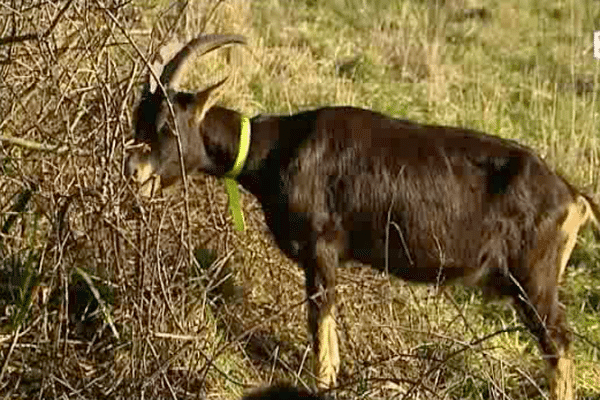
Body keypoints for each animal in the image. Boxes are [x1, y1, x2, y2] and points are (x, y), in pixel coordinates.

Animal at [125, 34, 600, 400]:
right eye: (138, 119)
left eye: (169, 125)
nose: (134, 170)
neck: (279, 149)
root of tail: (573, 197)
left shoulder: (321, 248)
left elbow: (320, 321)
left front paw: (323, 383)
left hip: (534, 278)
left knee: (559, 343)